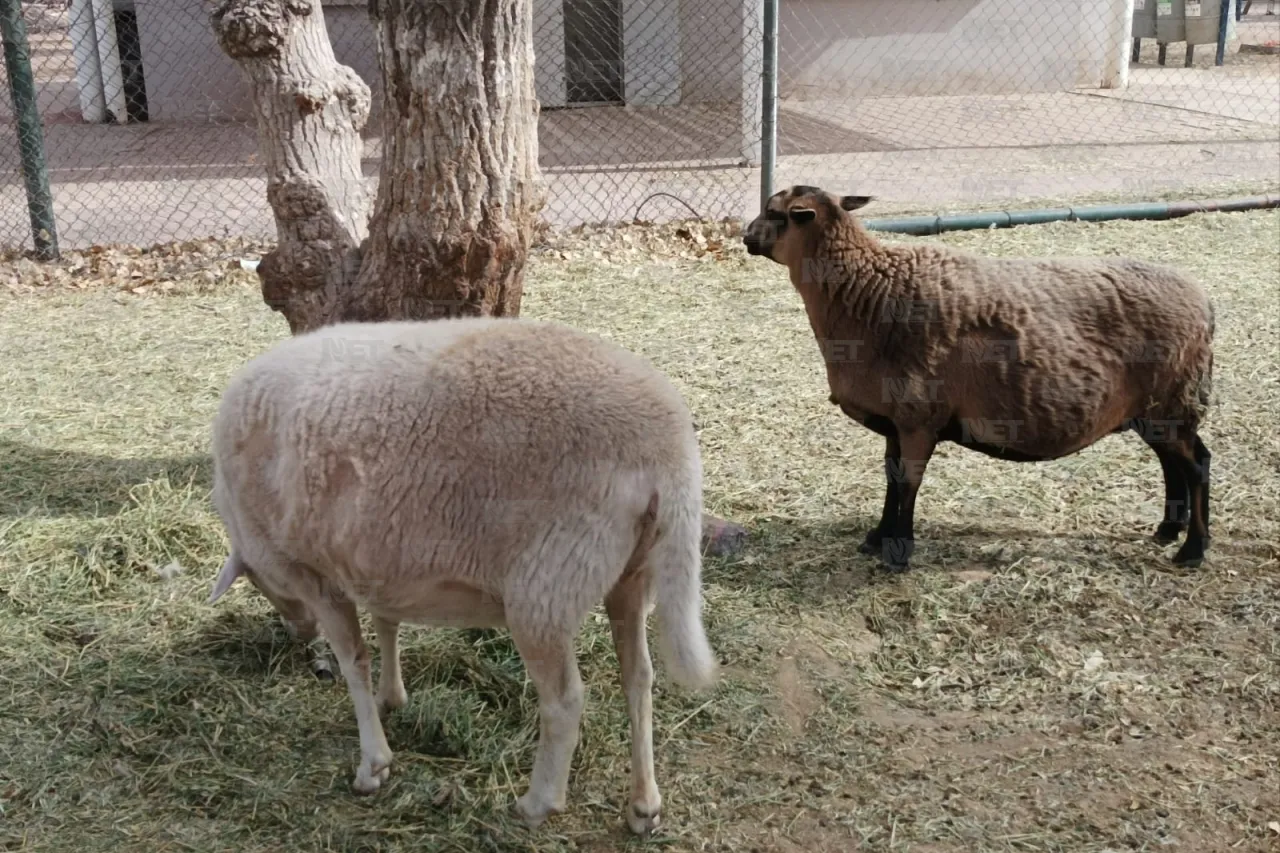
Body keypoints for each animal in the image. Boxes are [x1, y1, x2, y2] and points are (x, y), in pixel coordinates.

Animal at [204, 312, 716, 829]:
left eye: (258, 582)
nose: (298, 634)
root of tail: (669, 452)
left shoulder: (315, 575)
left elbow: (354, 662)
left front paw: (373, 763)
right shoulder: (378, 559)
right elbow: (386, 625)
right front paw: (392, 698)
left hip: (547, 582)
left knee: (565, 701)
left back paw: (537, 802)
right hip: (633, 575)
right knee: (639, 678)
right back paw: (644, 803)